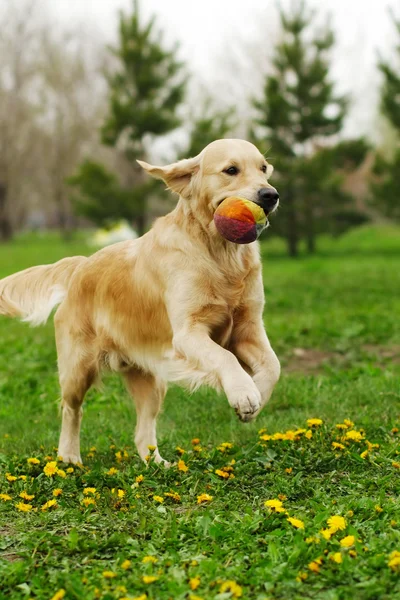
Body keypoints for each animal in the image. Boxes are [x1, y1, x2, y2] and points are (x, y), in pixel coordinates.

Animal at [0, 139, 282, 464]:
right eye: (231, 170)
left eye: (264, 168)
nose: (270, 195)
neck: (219, 252)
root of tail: (81, 265)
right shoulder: (188, 333)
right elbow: (225, 357)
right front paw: (243, 393)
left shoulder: (248, 327)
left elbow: (273, 365)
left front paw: (255, 396)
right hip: (77, 369)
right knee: (72, 410)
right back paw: (69, 458)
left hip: (151, 380)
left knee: (142, 433)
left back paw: (160, 465)